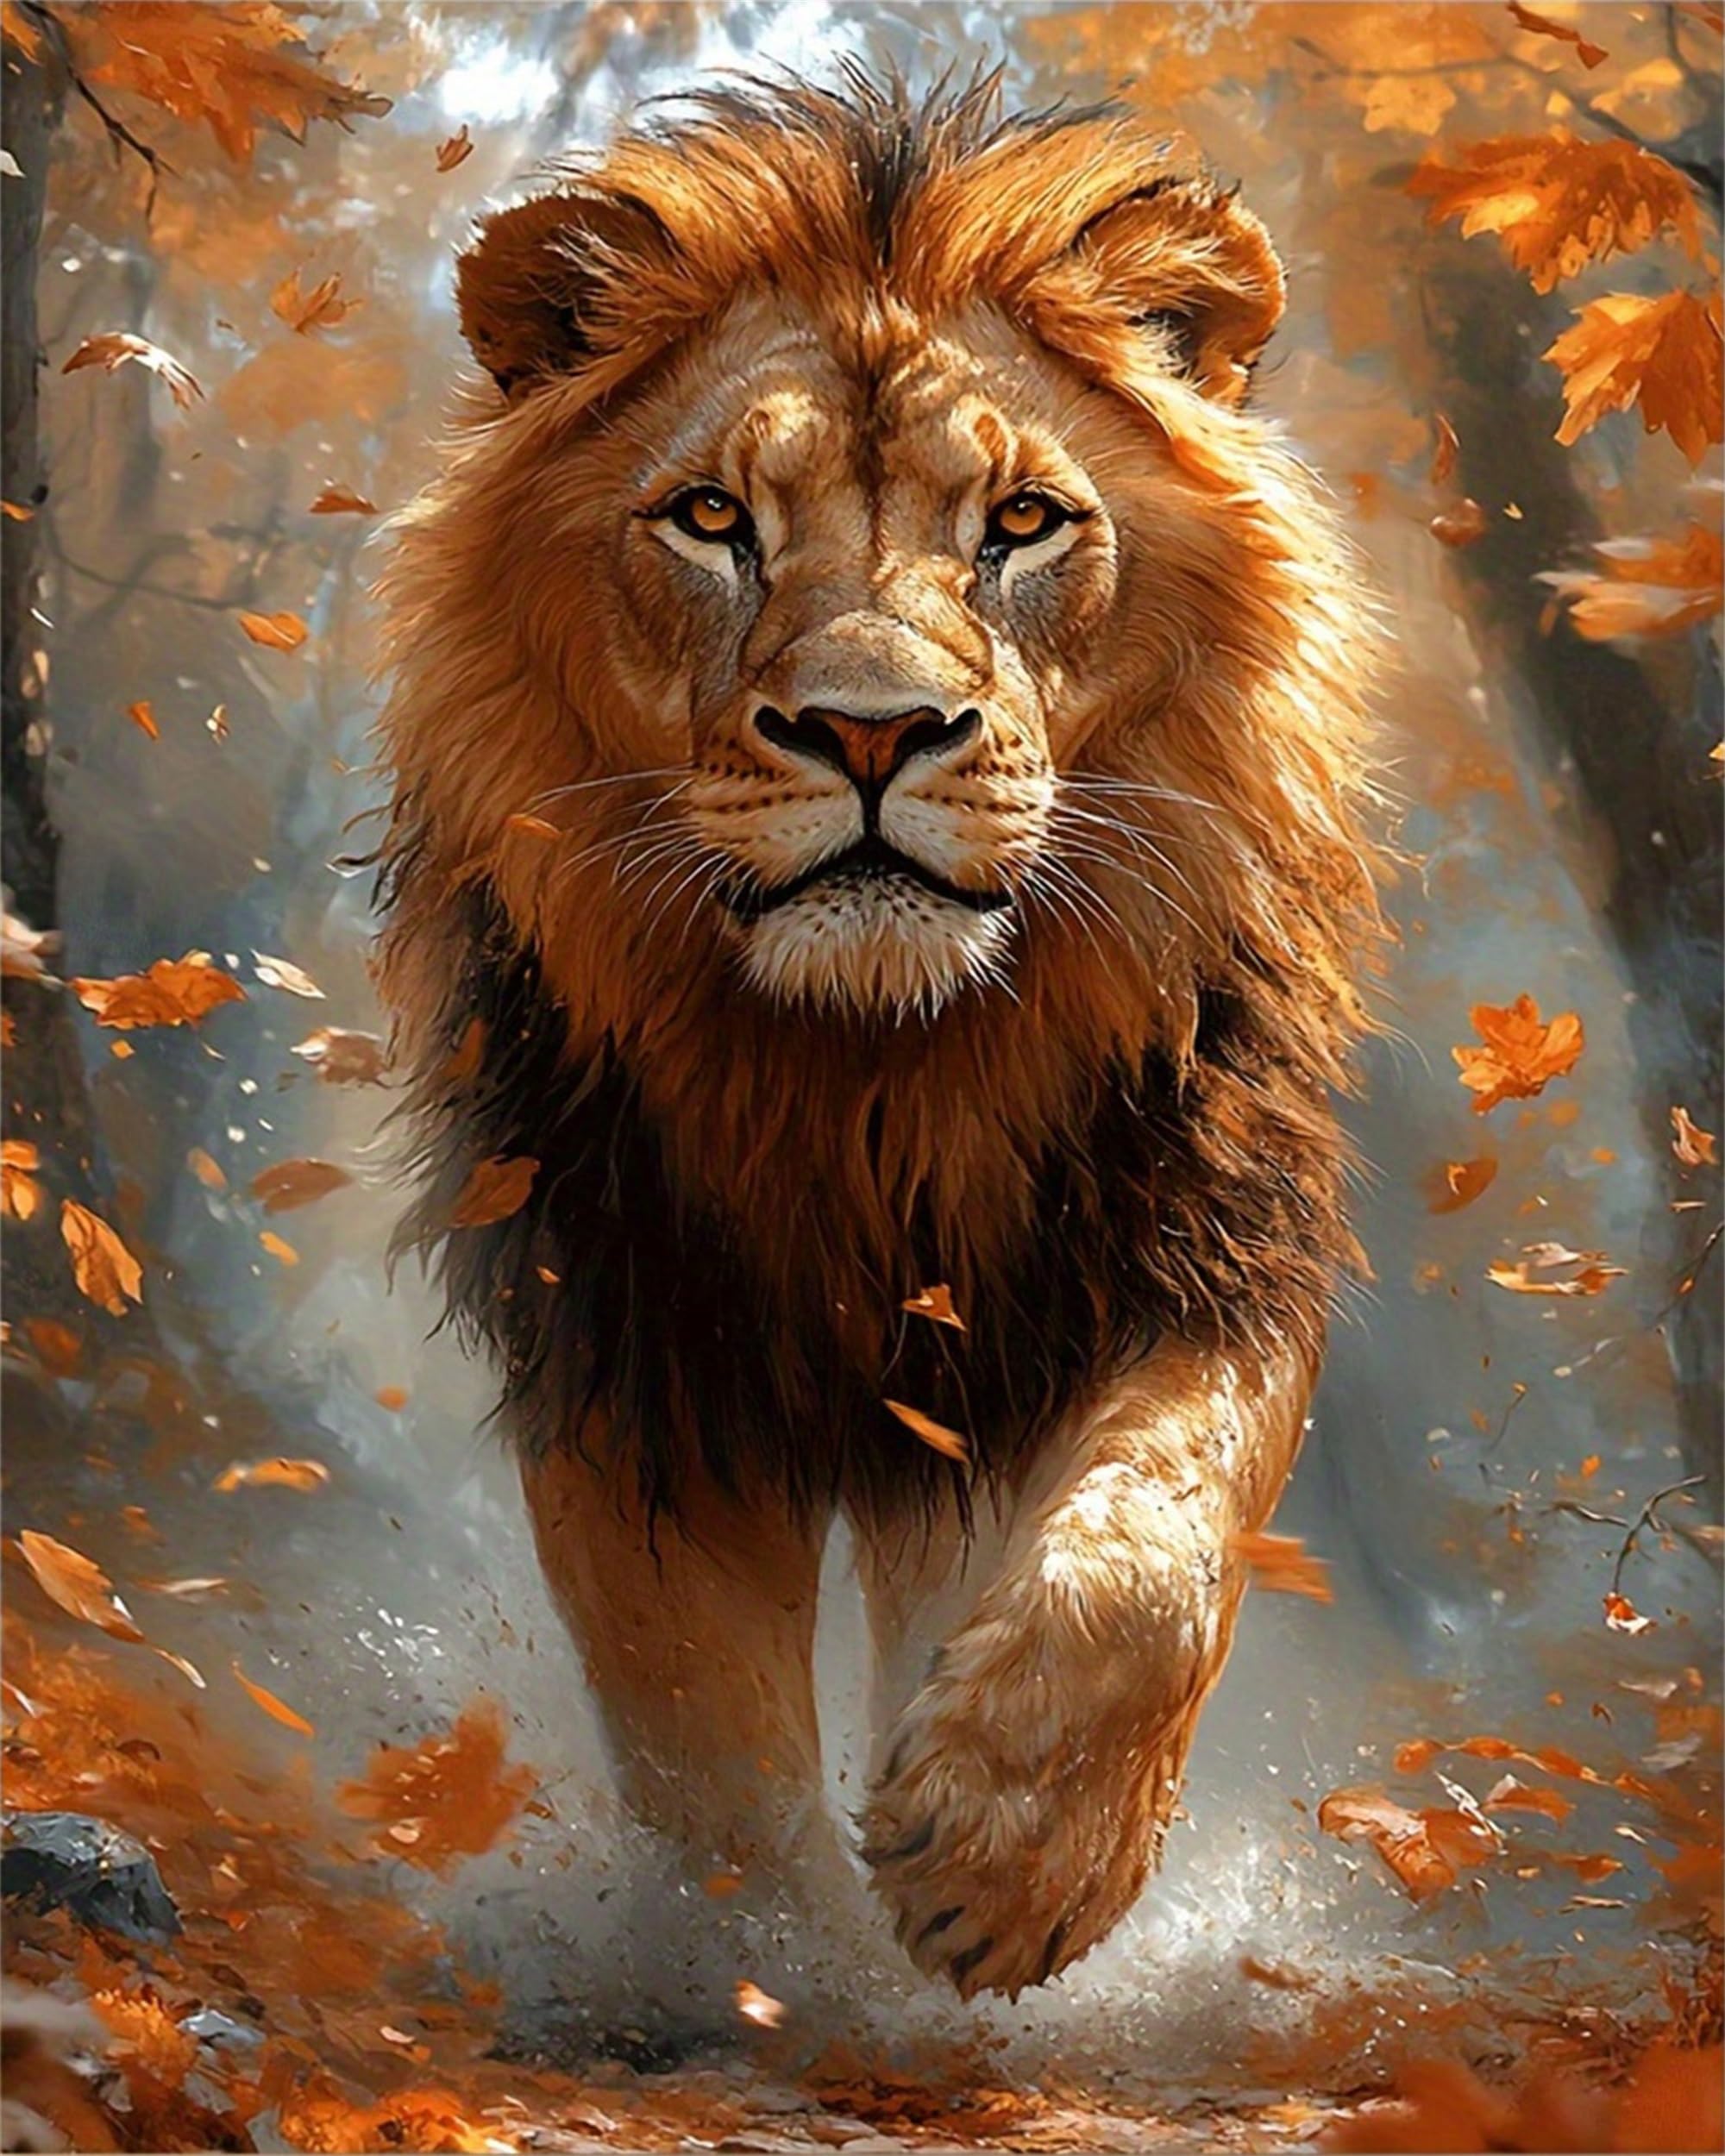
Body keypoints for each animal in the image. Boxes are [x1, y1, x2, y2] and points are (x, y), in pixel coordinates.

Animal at [375, 72, 1383, 2007]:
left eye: (1022, 523)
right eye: (710, 519)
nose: (868, 731)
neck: (869, 1079)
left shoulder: (1185, 1246)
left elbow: (1155, 1547)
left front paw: (1006, 1859)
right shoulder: (631, 1350)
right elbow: (701, 1730)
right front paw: (778, 1972)